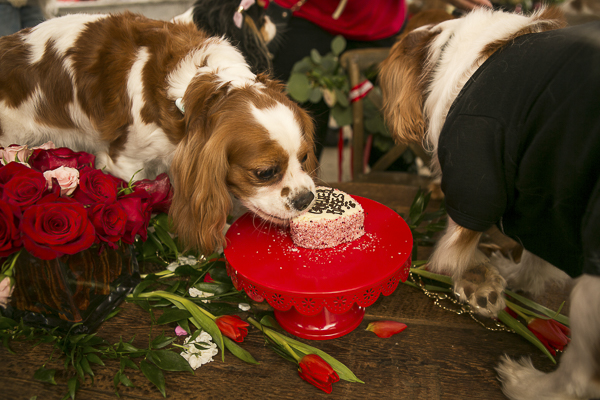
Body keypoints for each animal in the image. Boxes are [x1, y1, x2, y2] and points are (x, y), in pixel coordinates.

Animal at [382, 6, 600, 400]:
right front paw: (515, 276)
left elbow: (455, 250)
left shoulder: (475, 175)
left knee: (580, 377)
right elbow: (539, 250)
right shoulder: (549, 191)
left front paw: (474, 284)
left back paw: (526, 384)